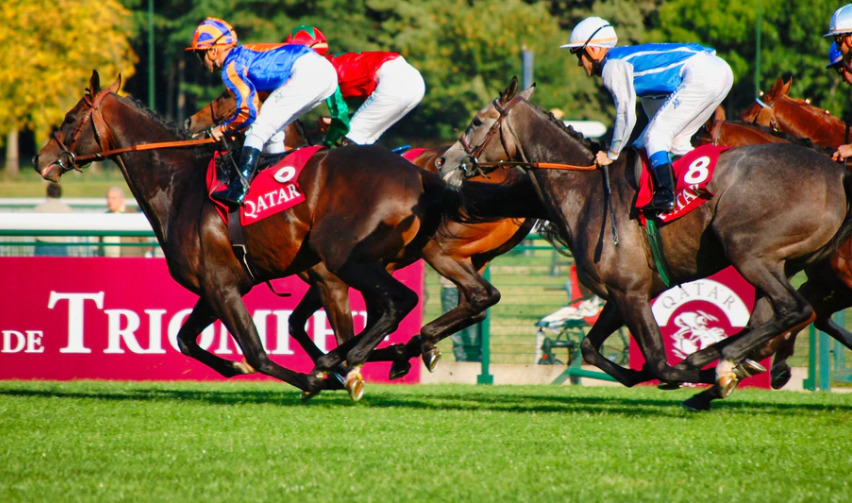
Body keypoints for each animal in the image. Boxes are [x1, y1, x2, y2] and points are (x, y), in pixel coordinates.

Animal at [35, 71, 506, 402]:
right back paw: (397, 350)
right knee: (472, 297)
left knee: (398, 302)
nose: (41, 159)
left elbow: (257, 350)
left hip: (348, 257)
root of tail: (422, 175)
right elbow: (186, 339)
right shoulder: (218, 285)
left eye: (70, 118)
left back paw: (349, 359)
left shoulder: (229, 286)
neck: (179, 183)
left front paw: (322, 379)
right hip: (415, 255)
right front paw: (241, 369)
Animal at [436, 79, 852, 410]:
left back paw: (721, 360)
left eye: (476, 121)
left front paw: (698, 373)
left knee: (794, 309)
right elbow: (591, 348)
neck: (586, 190)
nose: (442, 161)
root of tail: (836, 173)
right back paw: (725, 360)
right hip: (781, 264)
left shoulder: (631, 293)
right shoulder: (622, 293)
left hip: (750, 254)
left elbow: (658, 361)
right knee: (775, 318)